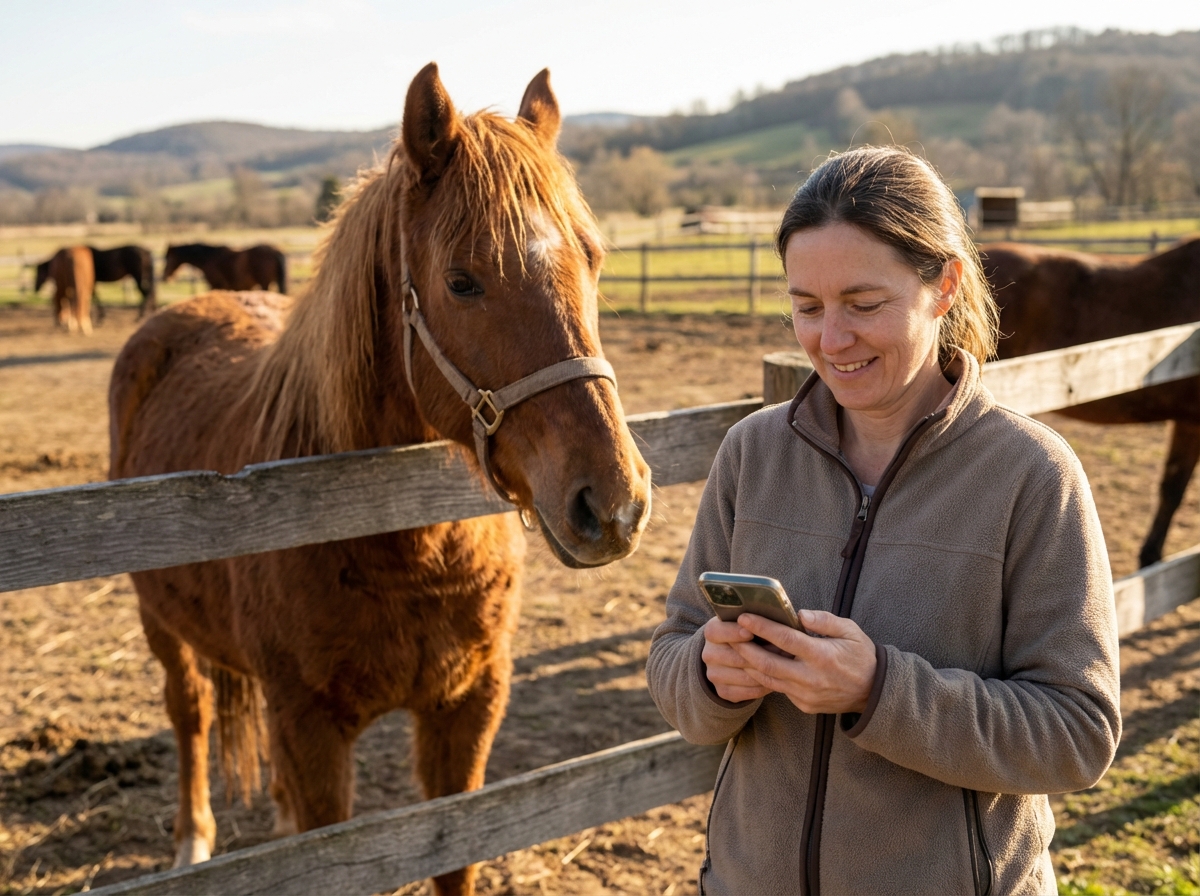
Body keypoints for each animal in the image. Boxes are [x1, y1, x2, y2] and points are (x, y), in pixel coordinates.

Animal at [109, 64, 651, 895]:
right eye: (462, 282)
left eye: (591, 259)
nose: (613, 503)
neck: (400, 544)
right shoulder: (312, 730)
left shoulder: (468, 708)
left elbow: (454, 859)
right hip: (160, 623)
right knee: (190, 713)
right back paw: (192, 839)